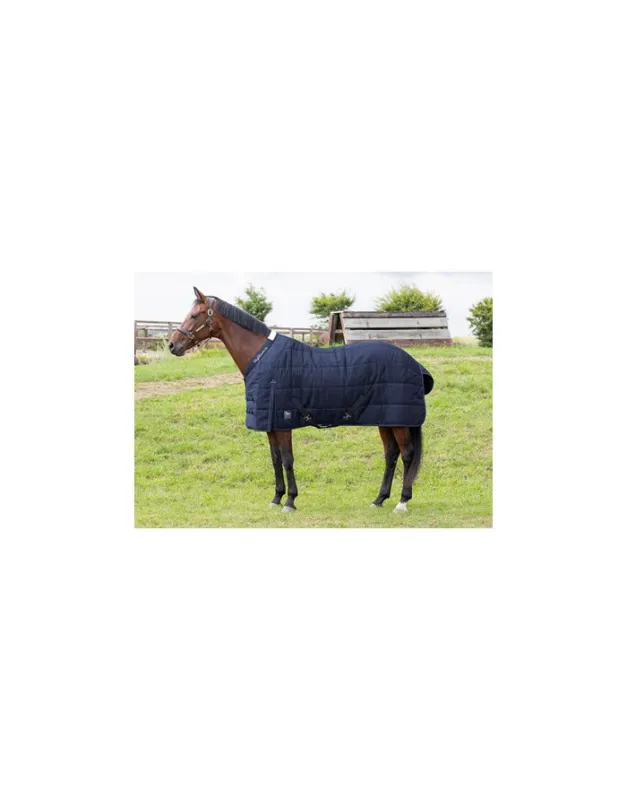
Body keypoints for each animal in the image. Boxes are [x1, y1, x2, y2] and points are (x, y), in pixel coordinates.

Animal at [168, 287, 434, 514]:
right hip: (385, 419)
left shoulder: (283, 422)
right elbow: (275, 460)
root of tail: (413, 363)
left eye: (194, 315)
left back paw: (402, 502)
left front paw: (290, 501)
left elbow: (287, 460)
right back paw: (379, 499)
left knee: (407, 454)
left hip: (398, 421)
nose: (172, 345)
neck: (262, 358)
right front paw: (276, 498)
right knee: (391, 455)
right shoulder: (270, 424)